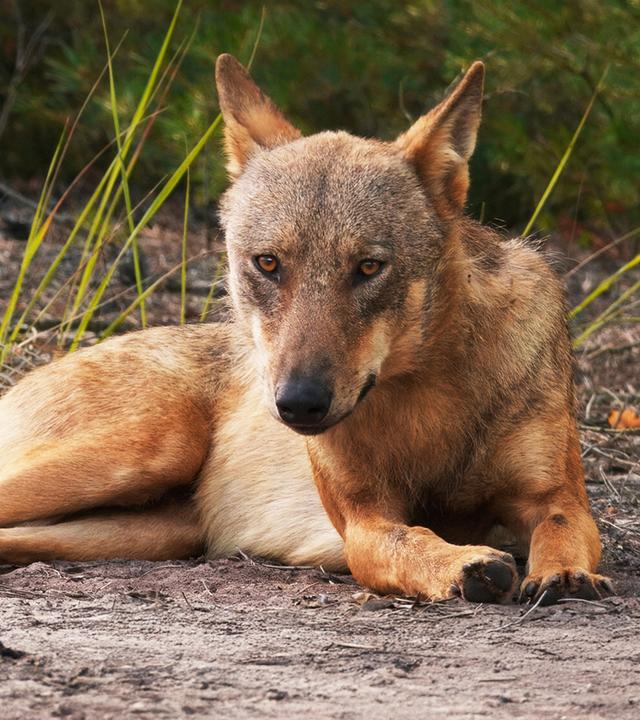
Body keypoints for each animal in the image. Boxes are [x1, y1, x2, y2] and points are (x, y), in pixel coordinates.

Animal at [0, 55, 611, 605]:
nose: (297, 403)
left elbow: (563, 528)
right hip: (151, 447)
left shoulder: (557, 497)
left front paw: (563, 574)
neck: (427, 401)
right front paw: (465, 565)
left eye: (368, 267)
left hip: (153, 528)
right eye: (268, 263)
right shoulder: (364, 521)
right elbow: (406, 539)